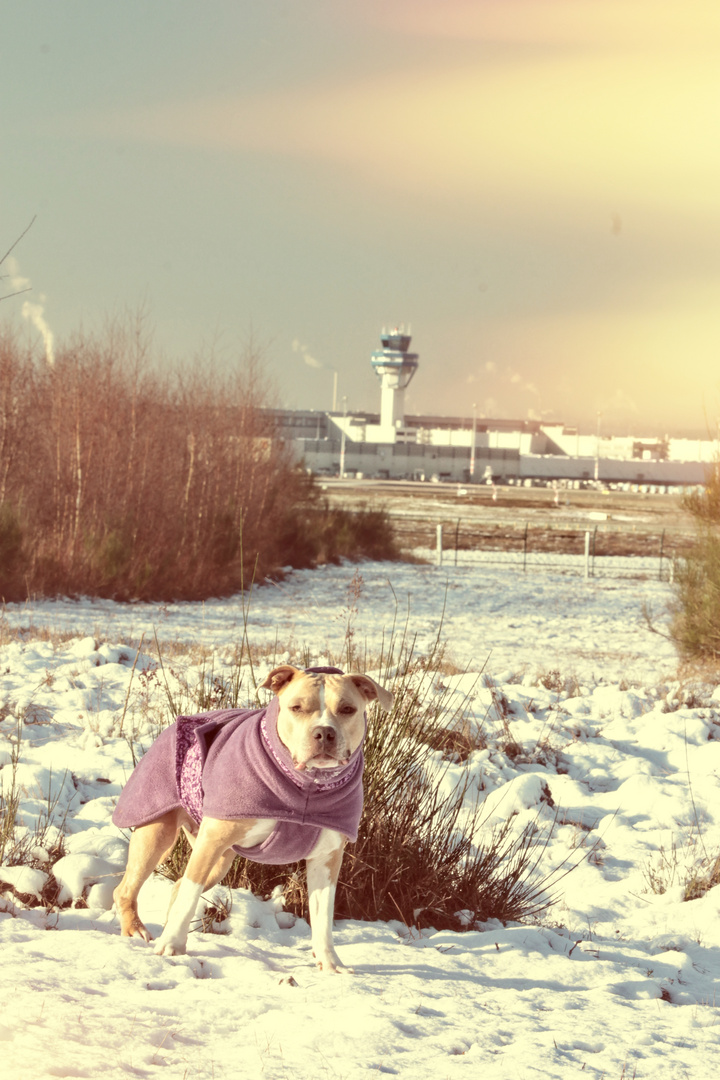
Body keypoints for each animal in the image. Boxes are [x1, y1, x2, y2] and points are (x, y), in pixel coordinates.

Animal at [112, 660, 395, 976]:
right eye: (297, 707)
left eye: (347, 709)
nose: (324, 733)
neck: (307, 786)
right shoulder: (211, 841)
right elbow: (189, 895)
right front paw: (171, 946)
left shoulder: (326, 858)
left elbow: (322, 917)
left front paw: (330, 964)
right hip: (160, 835)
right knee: (129, 888)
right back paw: (137, 930)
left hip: (219, 860)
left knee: (178, 886)